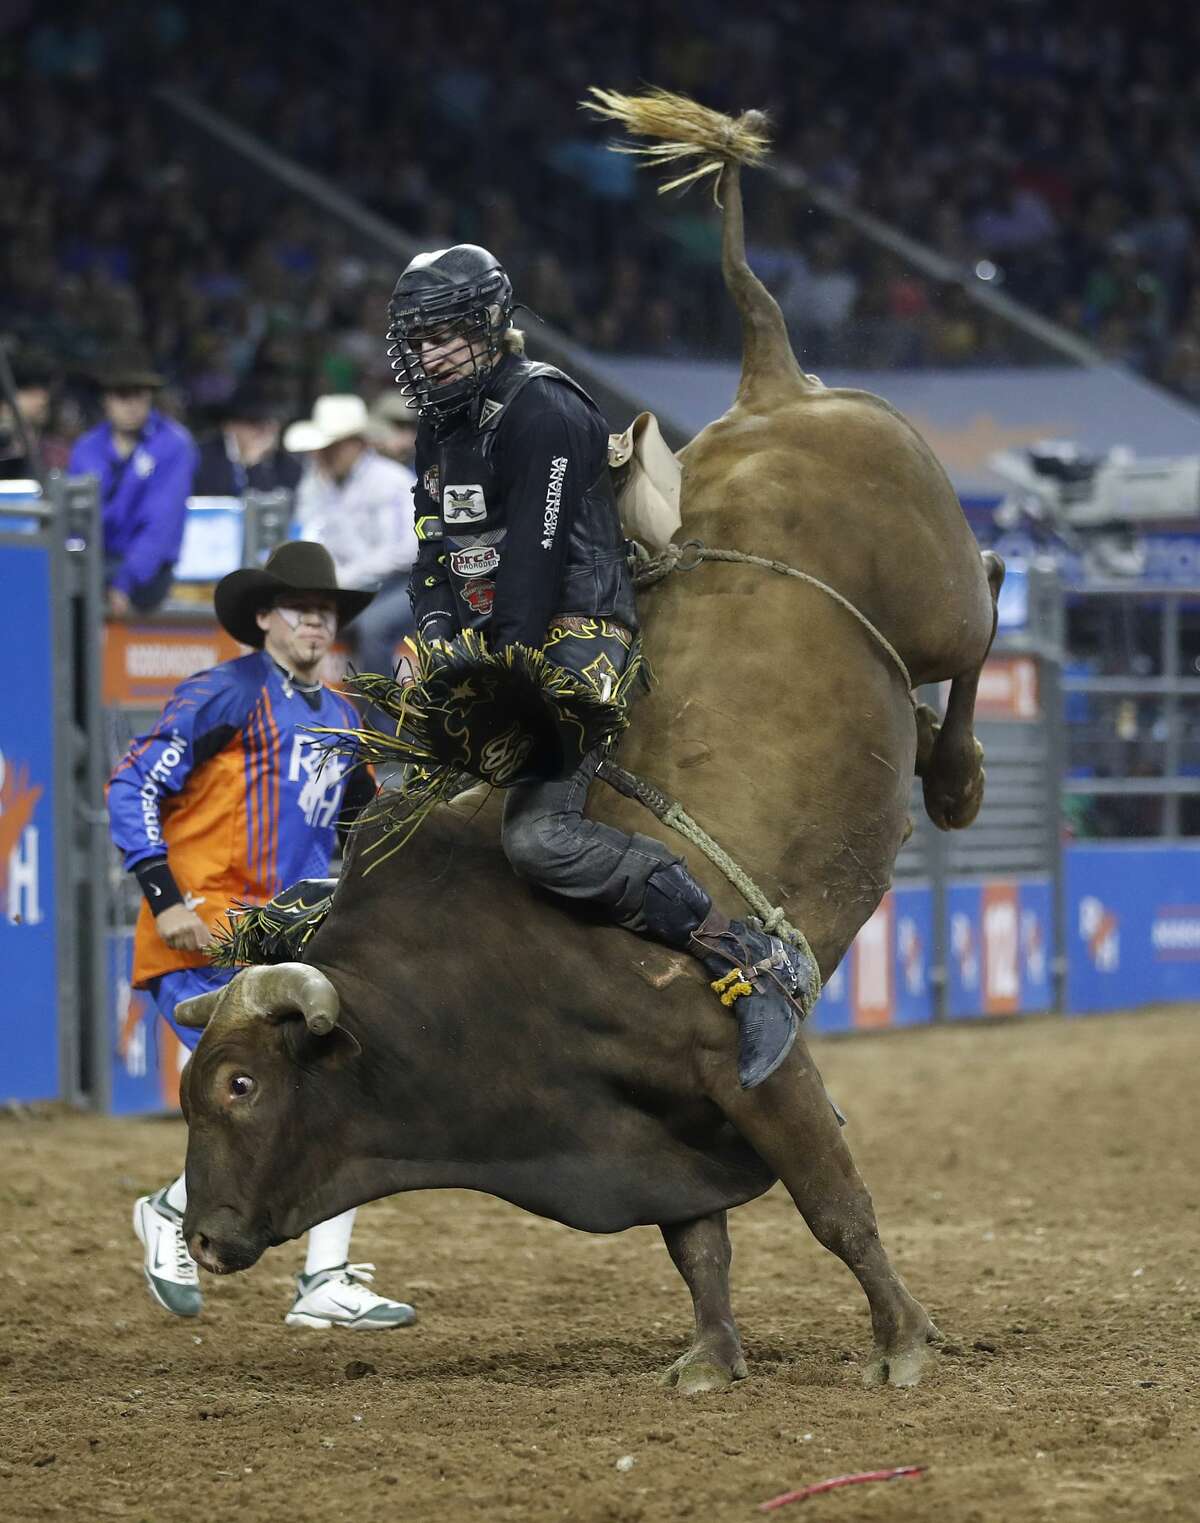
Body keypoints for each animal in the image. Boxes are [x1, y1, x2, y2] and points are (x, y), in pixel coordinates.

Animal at [175, 89, 1005, 1395]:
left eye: (244, 1082)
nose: (204, 1238)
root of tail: (775, 384)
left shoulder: (751, 1074)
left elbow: (836, 1204)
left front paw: (904, 1342)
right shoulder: (647, 1130)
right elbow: (697, 1241)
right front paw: (710, 1357)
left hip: (939, 596)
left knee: (983, 616)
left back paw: (966, 777)